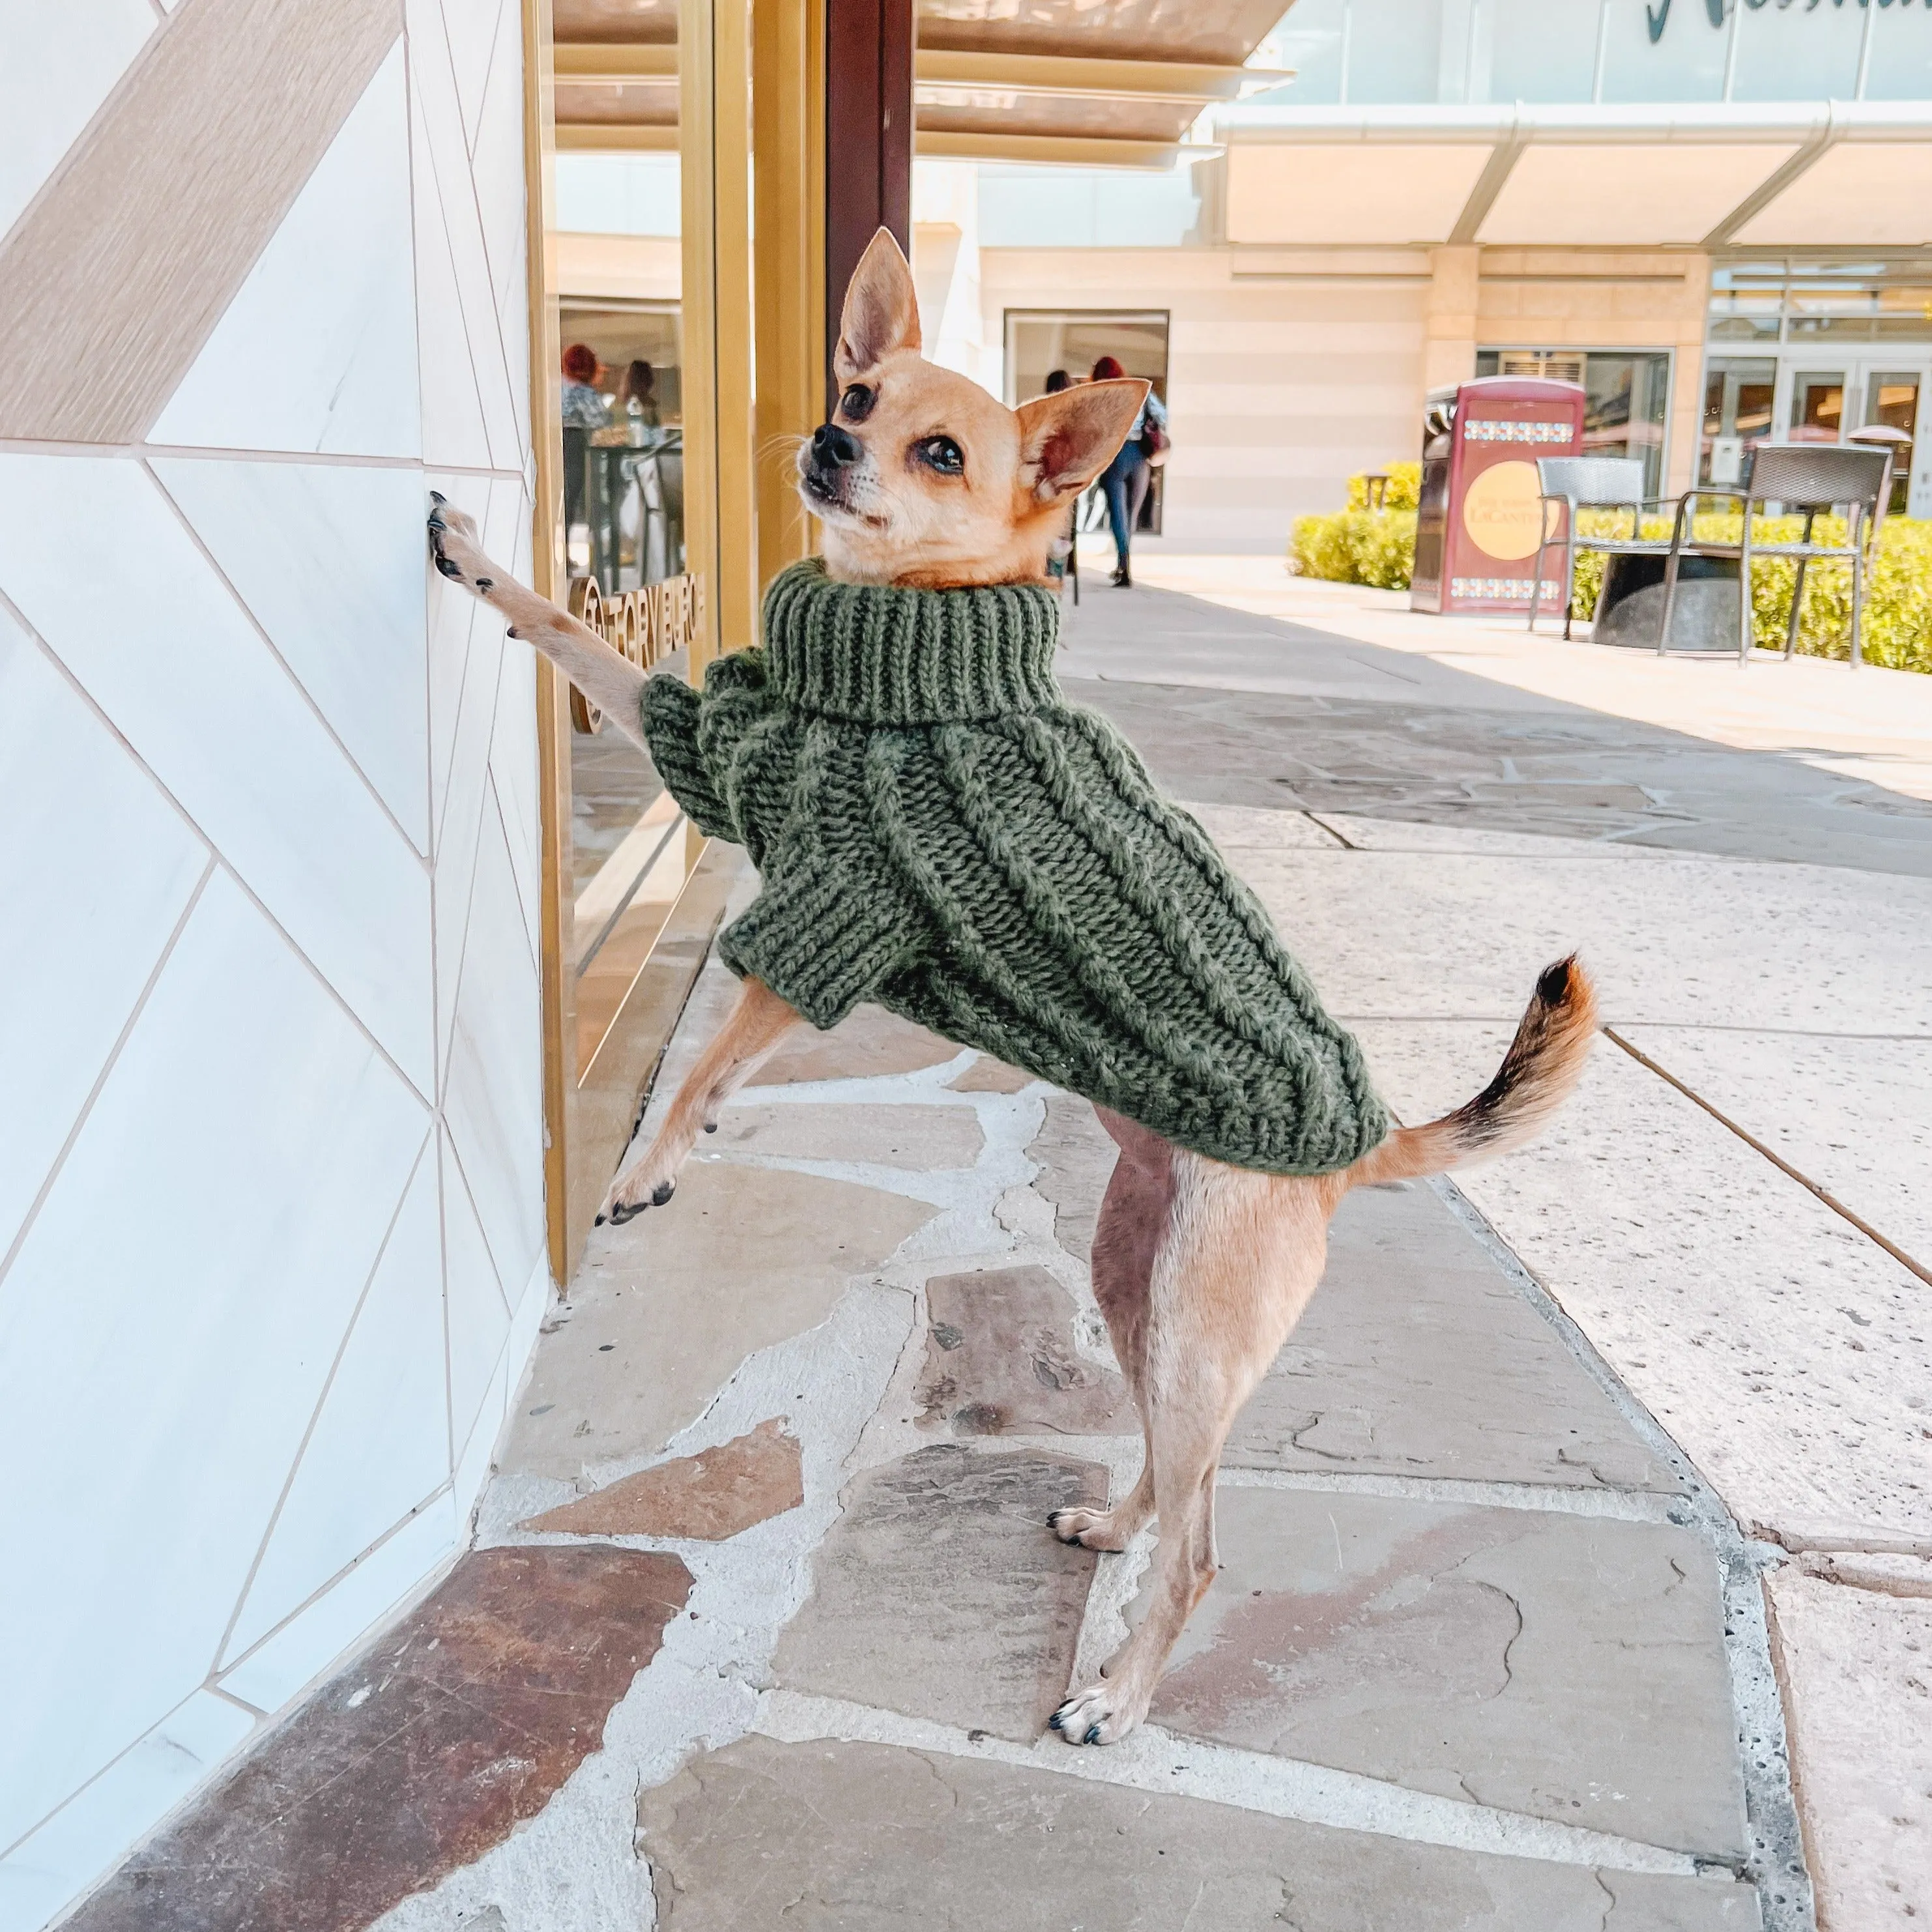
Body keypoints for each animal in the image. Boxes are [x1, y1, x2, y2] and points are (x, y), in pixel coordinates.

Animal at [431, 229, 1592, 1754]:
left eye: (938, 451)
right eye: (854, 395)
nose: (826, 442)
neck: (901, 647)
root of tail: (1358, 1147)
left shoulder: (833, 918)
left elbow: (699, 1062)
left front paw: (643, 1169)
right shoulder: (721, 766)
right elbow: (585, 645)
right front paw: (474, 560)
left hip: (1194, 1331)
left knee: (1205, 1546)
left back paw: (1115, 1696)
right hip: (1131, 1287)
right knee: (1167, 1472)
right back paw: (1112, 1523)